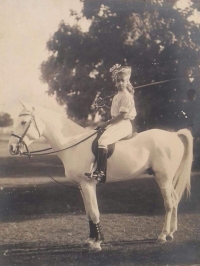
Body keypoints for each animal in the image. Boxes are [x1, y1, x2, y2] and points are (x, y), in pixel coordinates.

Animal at [8, 103, 193, 251]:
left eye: (23, 122)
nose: (11, 148)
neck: (72, 143)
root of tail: (174, 135)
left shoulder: (88, 184)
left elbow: (94, 212)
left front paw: (97, 243)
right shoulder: (81, 186)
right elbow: (89, 213)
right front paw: (90, 240)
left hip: (163, 178)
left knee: (169, 204)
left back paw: (162, 236)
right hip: (167, 179)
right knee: (174, 200)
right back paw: (171, 233)